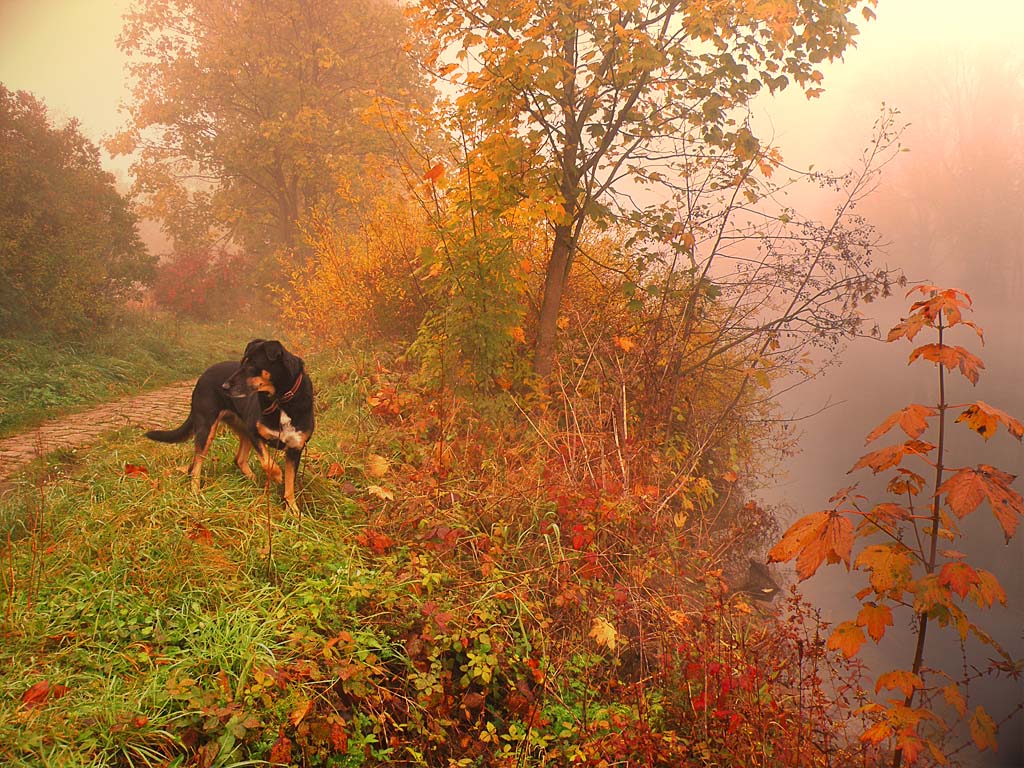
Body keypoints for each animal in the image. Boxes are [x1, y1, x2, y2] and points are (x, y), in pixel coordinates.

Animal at [144, 337, 311, 507]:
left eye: (251, 366)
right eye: (242, 363)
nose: (224, 386)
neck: (280, 400)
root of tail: (203, 375)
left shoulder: (295, 448)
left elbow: (289, 486)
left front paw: (293, 510)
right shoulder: (254, 433)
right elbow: (268, 464)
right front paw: (277, 476)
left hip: (241, 430)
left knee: (239, 460)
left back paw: (253, 483)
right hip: (207, 429)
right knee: (196, 466)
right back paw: (196, 493)